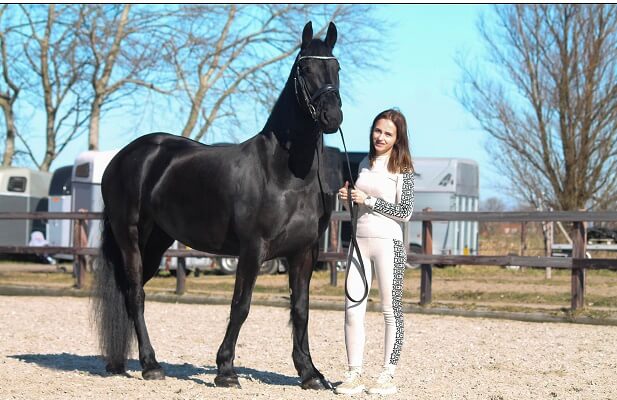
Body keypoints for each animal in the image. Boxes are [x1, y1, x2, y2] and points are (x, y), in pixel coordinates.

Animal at [92, 21, 342, 390]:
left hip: (157, 242)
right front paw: (225, 370)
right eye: (305, 68)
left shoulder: (304, 252)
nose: (332, 116)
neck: (285, 174)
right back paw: (151, 366)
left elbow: (300, 309)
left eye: (336, 68)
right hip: (130, 237)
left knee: (127, 293)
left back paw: (122, 362)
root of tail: (123, 158)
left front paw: (310, 374)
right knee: (135, 294)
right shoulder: (253, 249)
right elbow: (241, 305)